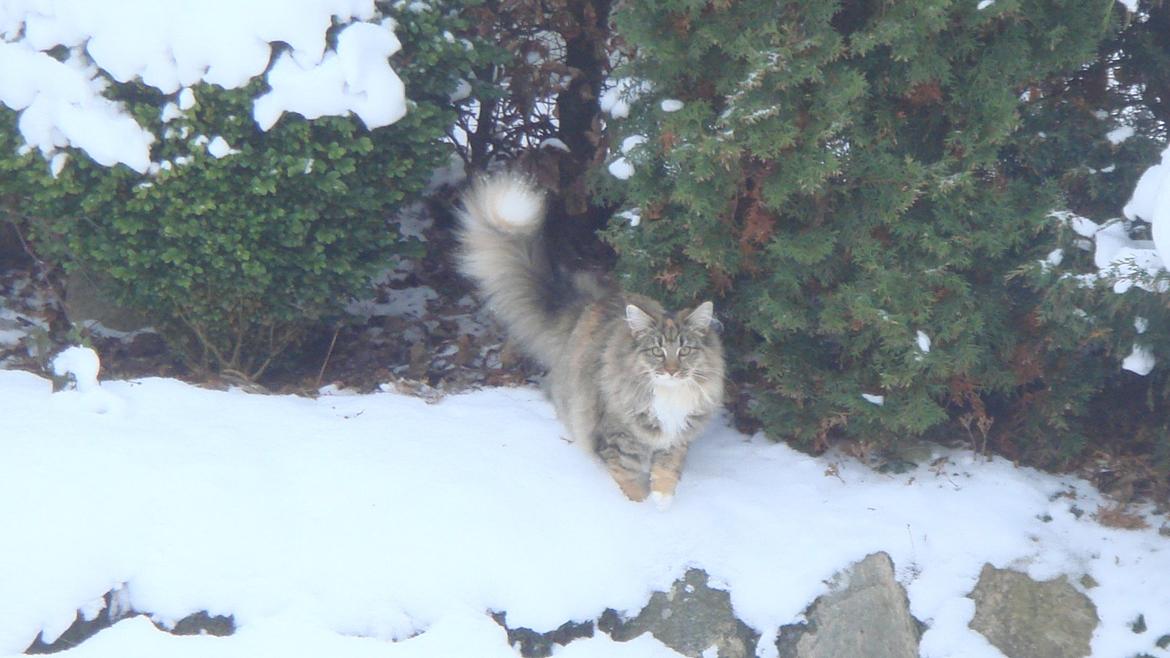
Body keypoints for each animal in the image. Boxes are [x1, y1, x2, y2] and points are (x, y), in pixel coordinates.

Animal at [453, 172, 720, 503]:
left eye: (684, 351)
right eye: (657, 352)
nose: (671, 371)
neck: (669, 397)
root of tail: (592, 303)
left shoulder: (676, 439)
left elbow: (667, 472)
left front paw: (662, 503)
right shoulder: (618, 440)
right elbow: (629, 480)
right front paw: (639, 507)